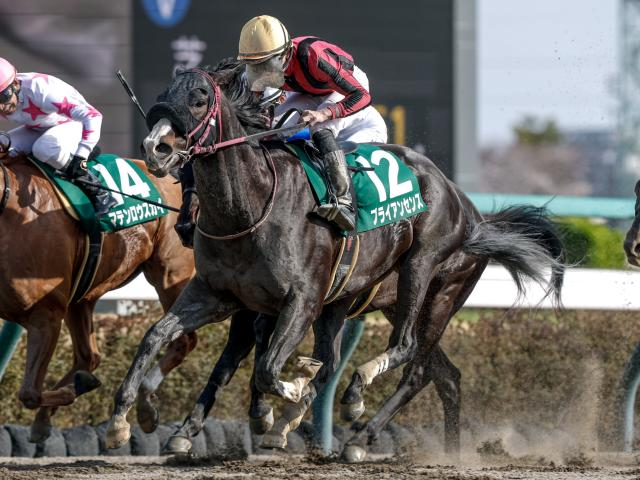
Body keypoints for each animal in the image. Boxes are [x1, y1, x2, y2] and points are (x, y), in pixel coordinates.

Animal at [0, 151, 200, 443]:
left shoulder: (45, 315)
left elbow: (29, 393)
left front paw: (76, 389)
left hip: (170, 275)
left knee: (183, 339)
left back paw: (141, 409)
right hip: (82, 297)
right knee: (89, 356)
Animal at [105, 61, 564, 459]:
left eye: (200, 98)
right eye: (162, 96)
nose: (156, 148)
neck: (250, 208)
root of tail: (471, 213)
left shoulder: (300, 301)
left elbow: (268, 368)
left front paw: (283, 403)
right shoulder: (220, 295)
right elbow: (158, 336)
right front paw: (124, 423)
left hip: (430, 282)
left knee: (409, 355)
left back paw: (358, 418)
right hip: (377, 302)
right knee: (443, 375)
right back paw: (446, 450)